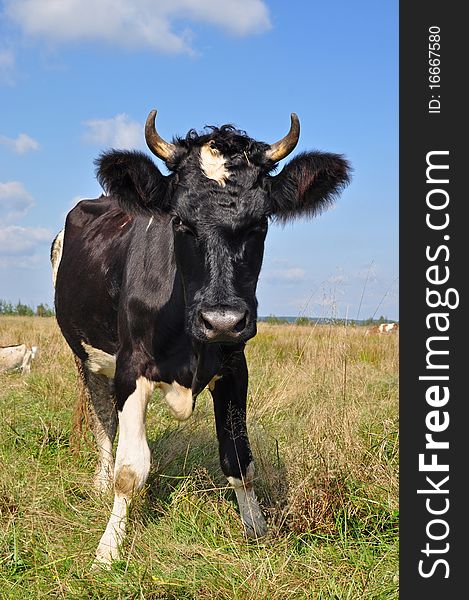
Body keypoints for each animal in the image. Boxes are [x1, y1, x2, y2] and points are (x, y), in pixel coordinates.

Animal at [53, 109, 350, 568]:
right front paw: (108, 549)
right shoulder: (130, 367)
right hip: (84, 356)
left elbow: (239, 460)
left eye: (260, 222)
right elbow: (129, 470)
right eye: (180, 221)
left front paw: (256, 529)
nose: (222, 320)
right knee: (103, 419)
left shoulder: (234, 366)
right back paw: (99, 483)